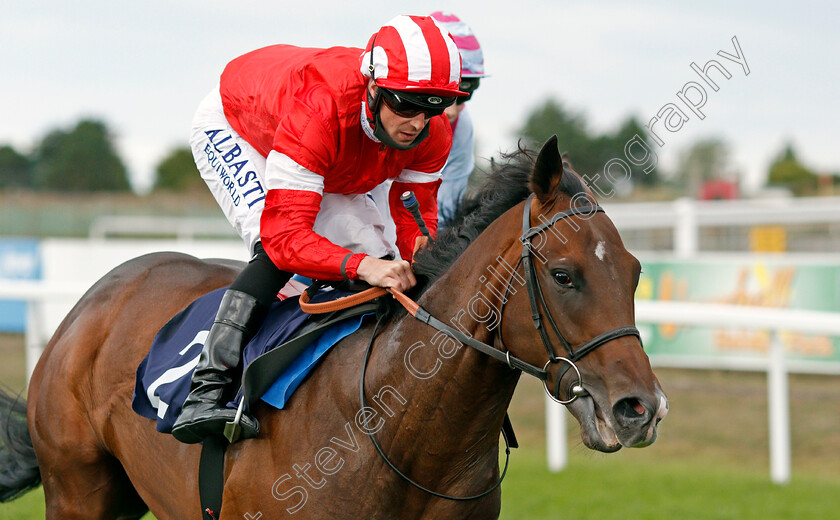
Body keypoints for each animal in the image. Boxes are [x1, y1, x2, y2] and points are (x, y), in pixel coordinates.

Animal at [0, 137, 668, 520]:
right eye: (563, 274)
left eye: (636, 272)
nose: (640, 408)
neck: (402, 431)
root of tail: (97, 296)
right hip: (77, 488)